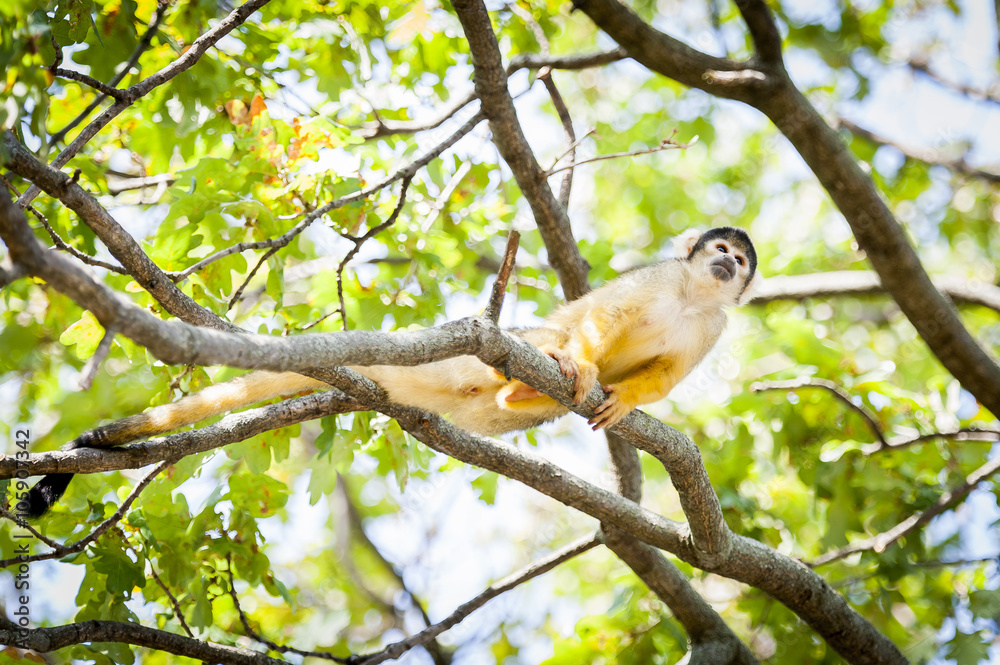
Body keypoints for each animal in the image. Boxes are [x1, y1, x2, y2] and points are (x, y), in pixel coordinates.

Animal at [24, 227, 757, 517]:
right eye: (717, 250)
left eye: (740, 261)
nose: (728, 263)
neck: (692, 296)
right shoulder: (657, 279)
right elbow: (601, 317)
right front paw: (579, 359)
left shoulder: (715, 327)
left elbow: (666, 373)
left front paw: (628, 402)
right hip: (505, 342)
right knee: (554, 335)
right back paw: (538, 372)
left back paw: (519, 396)